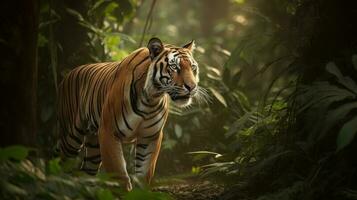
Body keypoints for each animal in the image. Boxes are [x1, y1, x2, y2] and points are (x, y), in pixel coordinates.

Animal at [54, 37, 202, 191]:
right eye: (174, 67)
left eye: (193, 67)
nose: (192, 87)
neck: (151, 98)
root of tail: (68, 74)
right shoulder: (108, 132)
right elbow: (118, 174)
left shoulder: (151, 136)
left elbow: (144, 172)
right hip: (71, 138)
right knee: (63, 164)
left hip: (94, 145)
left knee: (87, 171)